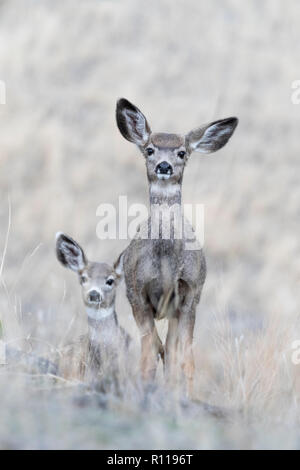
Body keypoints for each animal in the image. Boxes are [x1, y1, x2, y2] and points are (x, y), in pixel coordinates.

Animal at [116, 97, 238, 394]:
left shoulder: (190, 294)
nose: (164, 166)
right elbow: (148, 354)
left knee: (172, 352)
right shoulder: (137, 293)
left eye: (182, 152)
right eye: (149, 149)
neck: (165, 264)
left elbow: (186, 359)